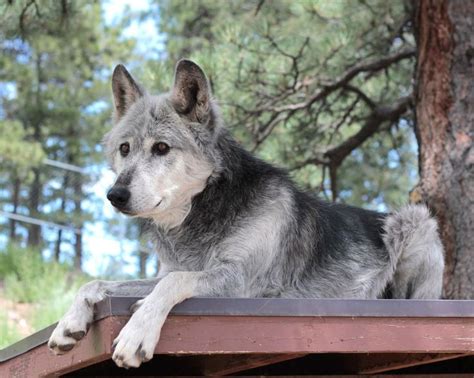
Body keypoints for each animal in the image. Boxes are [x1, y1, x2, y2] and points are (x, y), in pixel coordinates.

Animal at [48, 59, 444, 370]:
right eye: (125, 149)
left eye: (161, 148)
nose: (114, 195)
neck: (201, 217)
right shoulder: (177, 269)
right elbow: (98, 282)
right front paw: (68, 322)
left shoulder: (241, 283)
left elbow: (171, 283)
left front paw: (136, 335)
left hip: (415, 222)